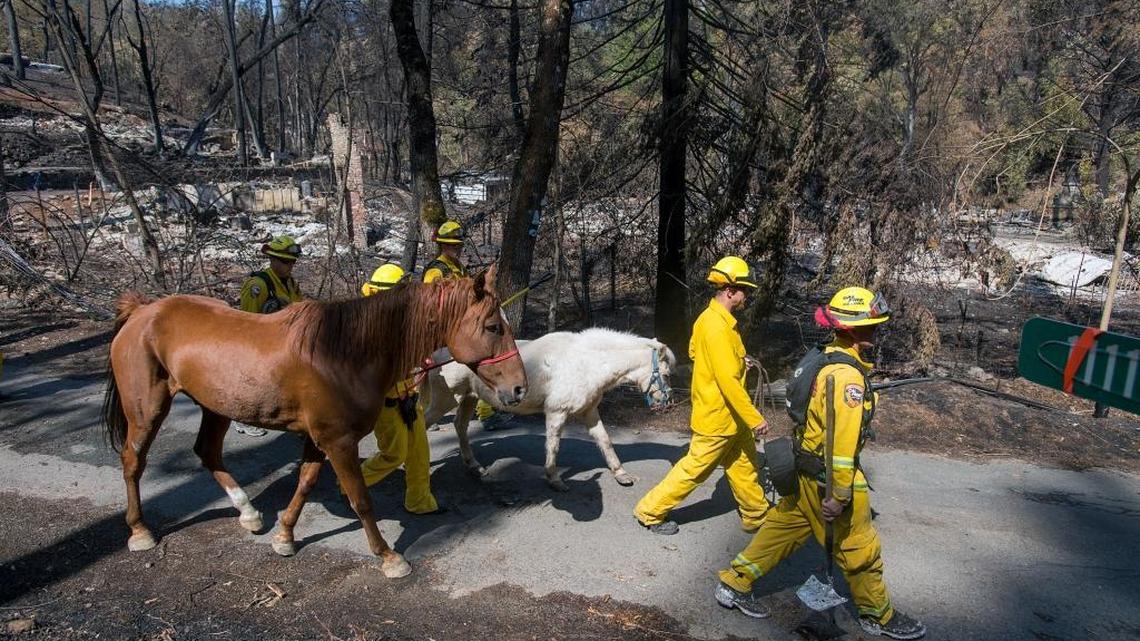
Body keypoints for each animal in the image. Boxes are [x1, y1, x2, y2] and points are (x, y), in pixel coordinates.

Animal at [101, 265, 526, 578]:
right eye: (493, 327)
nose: (519, 387)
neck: (343, 353)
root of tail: (142, 312)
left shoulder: (319, 438)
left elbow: (304, 485)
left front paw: (285, 536)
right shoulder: (338, 441)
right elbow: (360, 499)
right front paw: (388, 557)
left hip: (216, 407)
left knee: (207, 452)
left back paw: (249, 513)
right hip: (146, 410)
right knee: (133, 461)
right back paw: (140, 531)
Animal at [422, 328, 675, 490]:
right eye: (666, 374)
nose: (668, 404)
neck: (586, 363)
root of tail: (438, 354)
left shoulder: (590, 412)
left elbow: (605, 440)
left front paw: (621, 474)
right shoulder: (556, 413)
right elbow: (553, 446)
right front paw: (554, 479)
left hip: (468, 398)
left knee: (460, 426)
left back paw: (474, 466)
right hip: (446, 399)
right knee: (426, 422)